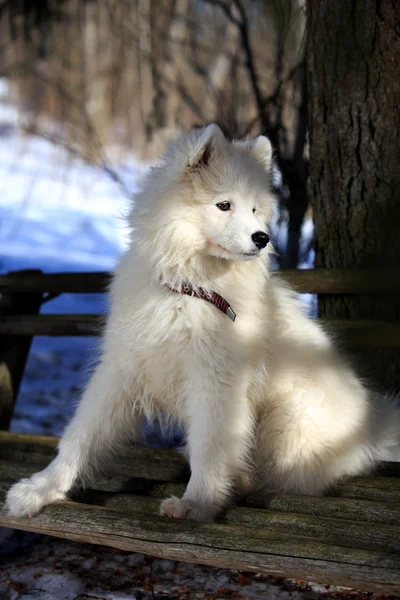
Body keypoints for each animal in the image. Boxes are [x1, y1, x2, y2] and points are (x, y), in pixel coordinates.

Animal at [6, 122, 400, 520]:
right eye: (224, 205)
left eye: (255, 209)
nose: (262, 237)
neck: (188, 288)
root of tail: (370, 430)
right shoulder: (122, 369)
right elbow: (81, 435)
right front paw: (40, 489)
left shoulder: (216, 381)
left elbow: (211, 447)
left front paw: (197, 503)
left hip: (286, 428)